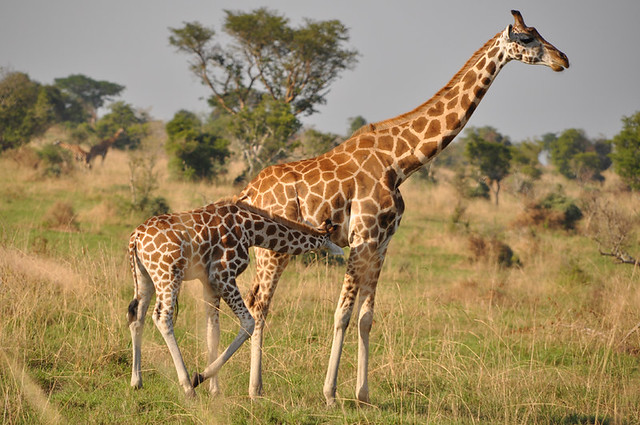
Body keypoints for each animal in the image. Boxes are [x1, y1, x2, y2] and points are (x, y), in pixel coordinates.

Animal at [127, 196, 343, 396]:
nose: (341, 250)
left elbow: (213, 333)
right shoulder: (223, 275)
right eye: (331, 239)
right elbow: (248, 322)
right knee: (162, 317)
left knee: (137, 316)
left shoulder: (209, 283)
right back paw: (188, 386)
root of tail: (135, 238)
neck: (251, 230)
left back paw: (136, 382)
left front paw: (214, 390)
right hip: (168, 274)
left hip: (145, 277)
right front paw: (200, 377)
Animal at [238, 10, 569, 405]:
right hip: (273, 251)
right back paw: (254, 389)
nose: (563, 60)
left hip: (269, 249)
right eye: (528, 39)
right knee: (260, 305)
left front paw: (363, 395)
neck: (399, 163)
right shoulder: (362, 238)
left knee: (251, 299)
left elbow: (366, 317)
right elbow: (342, 314)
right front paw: (331, 394)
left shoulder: (382, 244)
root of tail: (250, 191)